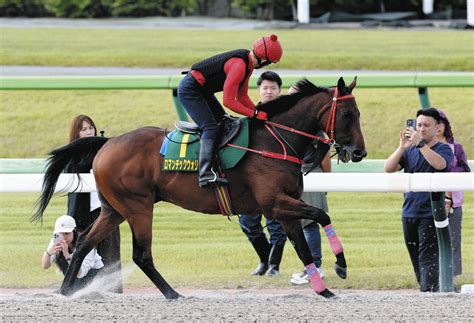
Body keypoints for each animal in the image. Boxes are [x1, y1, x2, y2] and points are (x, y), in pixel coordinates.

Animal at [34, 77, 366, 300]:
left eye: (358, 114)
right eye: (348, 114)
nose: (359, 152)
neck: (275, 141)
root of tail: (107, 142)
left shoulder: (284, 208)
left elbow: (303, 245)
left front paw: (324, 290)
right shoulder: (275, 203)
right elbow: (321, 217)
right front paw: (341, 267)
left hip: (113, 209)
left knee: (83, 243)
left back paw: (66, 291)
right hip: (138, 207)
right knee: (141, 254)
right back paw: (172, 294)